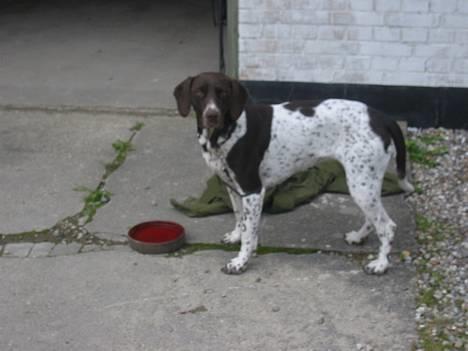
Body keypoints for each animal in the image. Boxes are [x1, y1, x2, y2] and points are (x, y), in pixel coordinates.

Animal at [174, 72, 414, 276]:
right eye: (199, 93)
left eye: (222, 93)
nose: (212, 115)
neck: (226, 133)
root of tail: (382, 117)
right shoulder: (232, 187)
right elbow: (240, 219)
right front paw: (236, 236)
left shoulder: (253, 191)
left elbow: (249, 232)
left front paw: (241, 261)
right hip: (364, 183)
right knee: (373, 218)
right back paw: (358, 237)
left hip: (361, 184)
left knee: (387, 226)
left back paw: (381, 264)